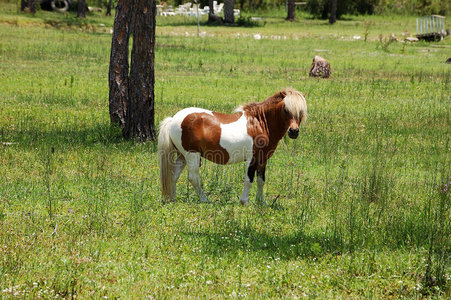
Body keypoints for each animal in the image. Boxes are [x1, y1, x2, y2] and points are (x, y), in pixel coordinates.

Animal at [158, 88, 308, 205]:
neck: (259, 123)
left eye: (301, 111)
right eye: (285, 109)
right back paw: (205, 200)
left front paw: (261, 202)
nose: (293, 131)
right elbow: (249, 180)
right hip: (192, 155)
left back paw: (172, 199)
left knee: (174, 176)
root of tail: (173, 119)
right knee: (193, 177)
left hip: (182, 156)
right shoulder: (252, 159)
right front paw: (244, 202)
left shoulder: (262, 159)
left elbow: (261, 180)